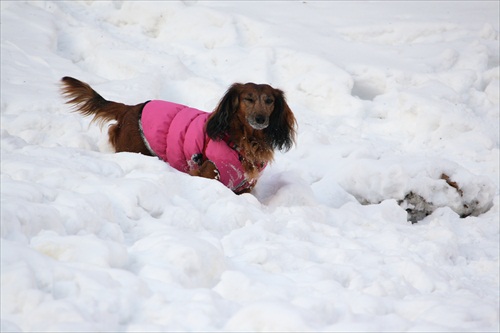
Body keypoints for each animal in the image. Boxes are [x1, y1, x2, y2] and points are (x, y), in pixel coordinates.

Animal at [62, 77, 296, 193]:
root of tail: (132, 108)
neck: (243, 141)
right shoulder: (208, 174)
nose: (260, 119)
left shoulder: (245, 188)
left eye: (269, 101)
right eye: (248, 98)